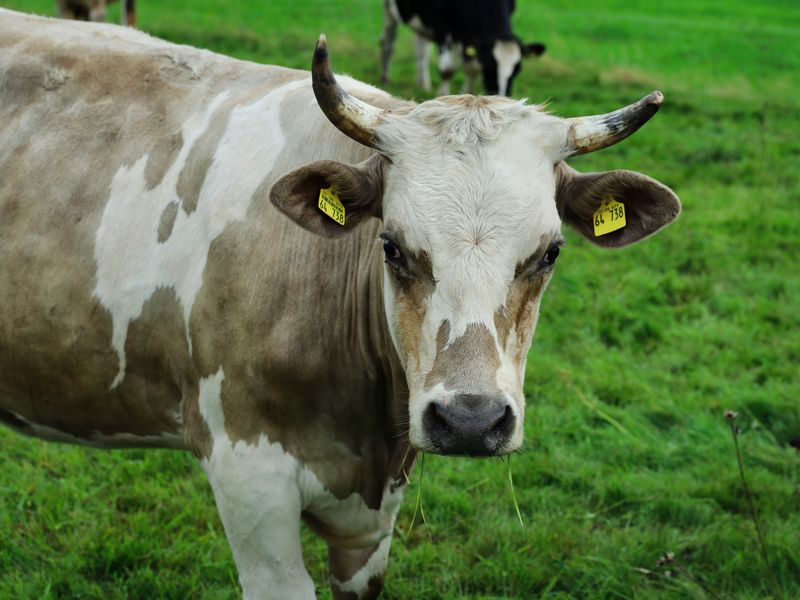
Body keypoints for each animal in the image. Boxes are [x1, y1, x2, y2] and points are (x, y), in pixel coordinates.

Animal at [380, 0, 546, 96]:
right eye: (489, 67)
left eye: (518, 69)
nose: (501, 96)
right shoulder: (441, 25)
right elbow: (447, 71)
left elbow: (472, 70)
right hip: (389, 9)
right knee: (387, 42)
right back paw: (385, 78)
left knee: (421, 50)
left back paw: (423, 85)